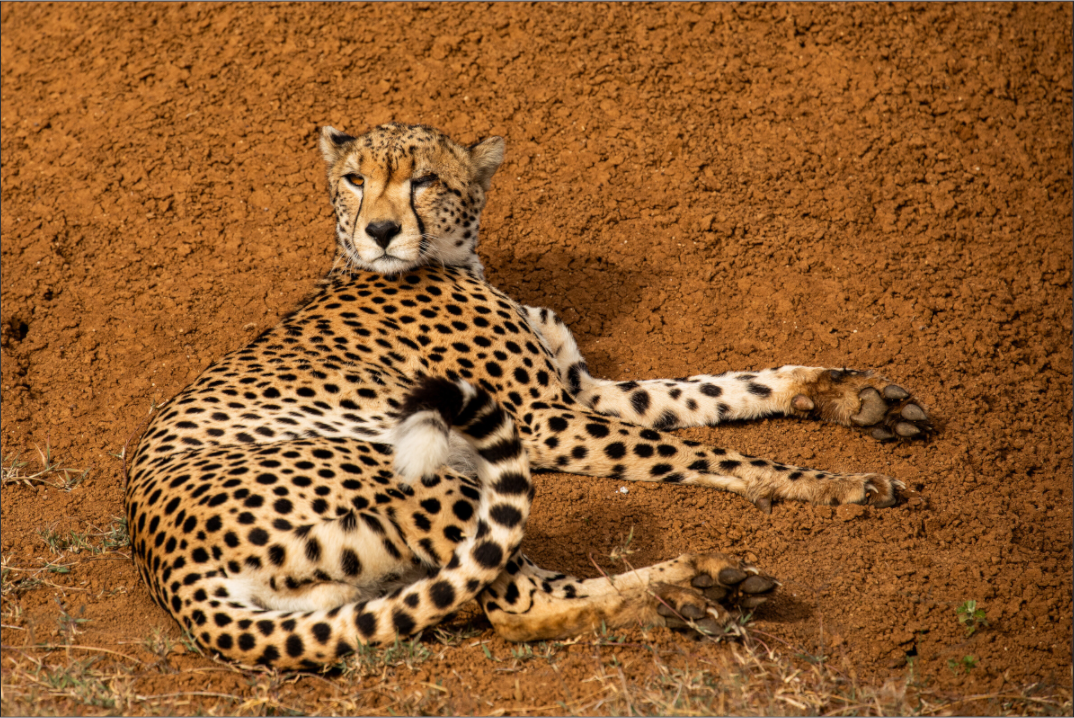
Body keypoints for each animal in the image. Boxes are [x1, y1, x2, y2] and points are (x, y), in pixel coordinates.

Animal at [125, 122, 934, 670]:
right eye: (355, 179)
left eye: (422, 181)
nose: (381, 229)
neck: (452, 258)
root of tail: (168, 571)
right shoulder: (543, 419)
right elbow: (705, 450)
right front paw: (831, 483)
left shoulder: (585, 393)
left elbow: (717, 391)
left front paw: (856, 397)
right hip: (419, 473)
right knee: (516, 604)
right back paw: (688, 588)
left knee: (504, 593)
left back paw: (696, 589)